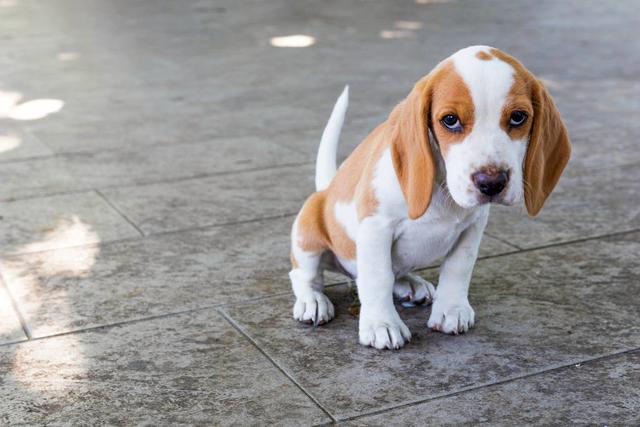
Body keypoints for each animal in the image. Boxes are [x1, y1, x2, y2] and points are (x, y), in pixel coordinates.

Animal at [288, 44, 568, 352]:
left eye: (518, 117)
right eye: (450, 120)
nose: (492, 183)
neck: (443, 190)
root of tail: (326, 189)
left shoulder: (473, 226)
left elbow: (458, 267)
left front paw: (452, 309)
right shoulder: (376, 226)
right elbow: (377, 277)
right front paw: (382, 324)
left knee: (392, 272)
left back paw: (409, 284)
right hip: (307, 234)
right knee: (305, 275)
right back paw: (312, 301)